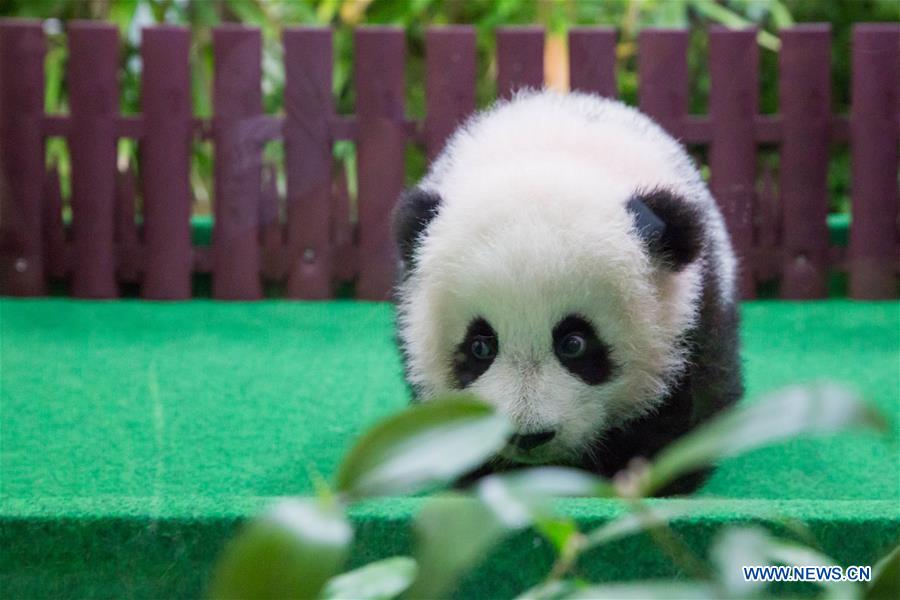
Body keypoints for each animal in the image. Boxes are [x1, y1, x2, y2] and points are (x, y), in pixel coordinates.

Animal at [392, 90, 742, 494]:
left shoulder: (694, 312)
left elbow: (684, 408)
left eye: (574, 343)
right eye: (480, 346)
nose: (527, 436)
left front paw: (634, 472)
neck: (551, 156)